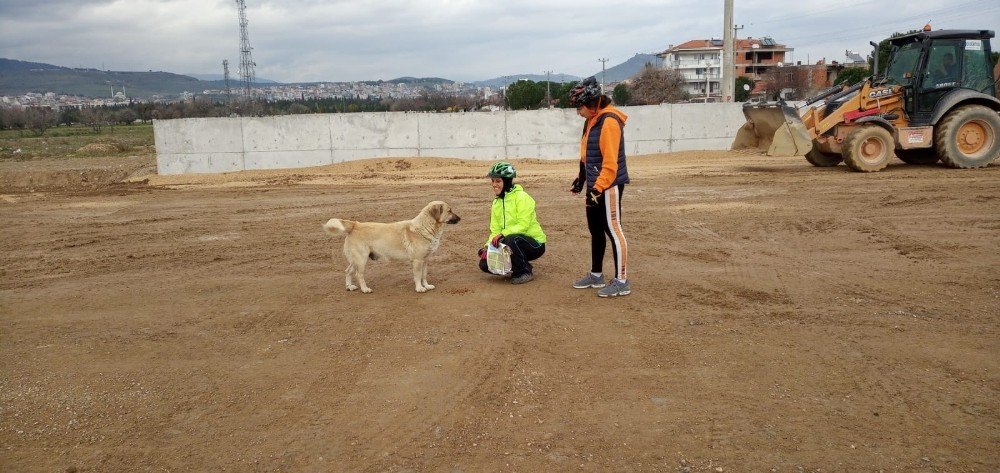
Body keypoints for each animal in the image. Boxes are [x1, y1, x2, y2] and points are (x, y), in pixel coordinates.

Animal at [324, 199, 460, 292]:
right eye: (449, 211)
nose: (460, 218)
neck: (425, 227)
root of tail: (355, 225)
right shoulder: (417, 261)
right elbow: (417, 276)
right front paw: (419, 288)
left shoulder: (425, 260)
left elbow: (424, 275)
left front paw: (426, 285)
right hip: (361, 259)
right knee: (358, 275)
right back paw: (365, 289)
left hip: (356, 260)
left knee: (348, 271)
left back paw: (349, 286)